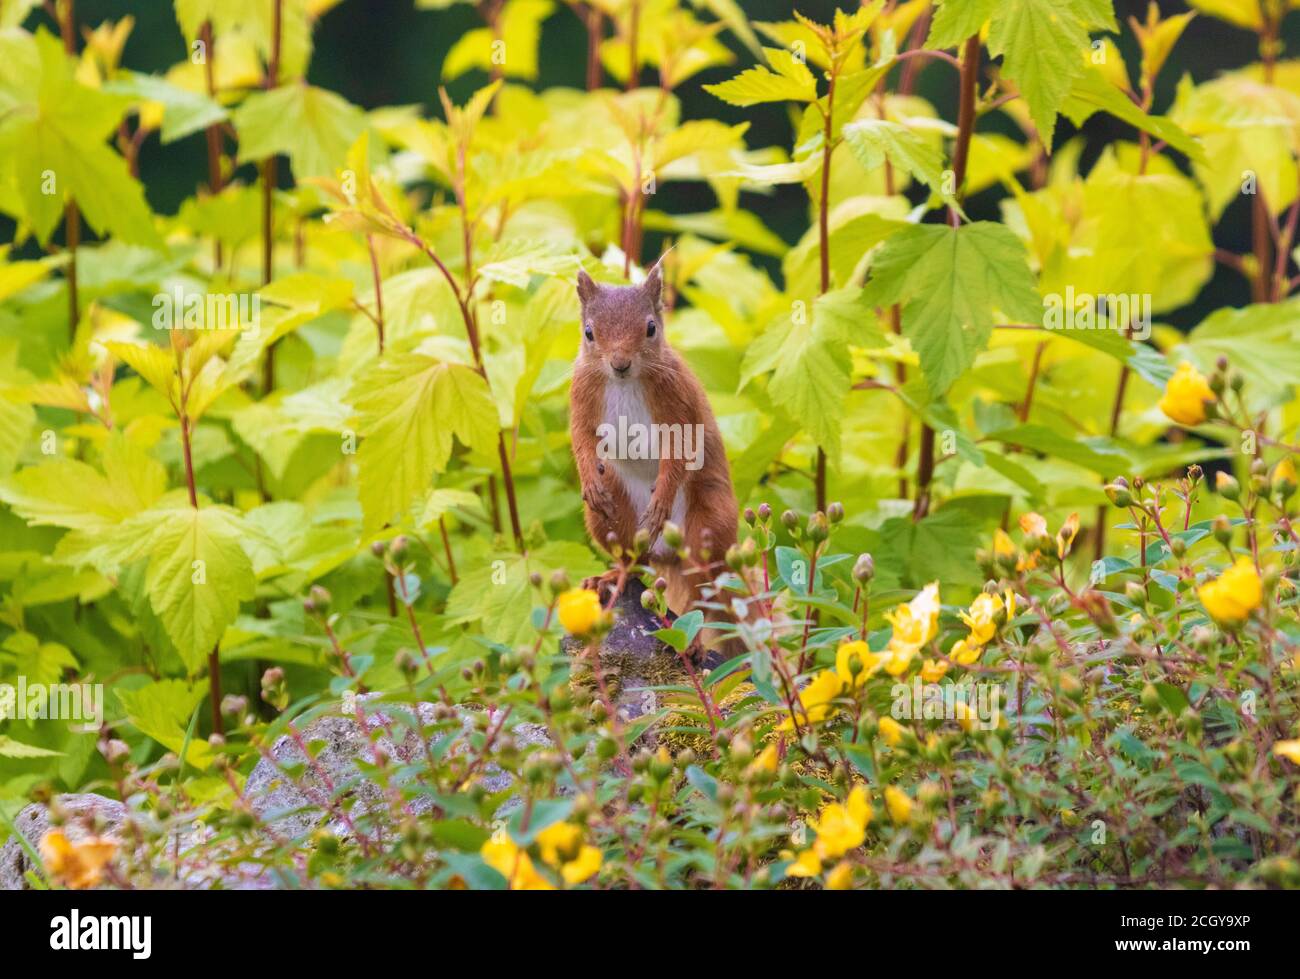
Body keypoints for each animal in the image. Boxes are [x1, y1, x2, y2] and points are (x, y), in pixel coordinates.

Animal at [570, 259, 739, 658]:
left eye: (650, 328)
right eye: (589, 332)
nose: (619, 363)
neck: (623, 384)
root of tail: (666, 554)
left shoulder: (679, 402)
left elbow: (679, 454)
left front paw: (660, 499)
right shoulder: (581, 396)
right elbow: (581, 441)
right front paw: (589, 480)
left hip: (707, 525)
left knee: (702, 594)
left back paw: (694, 642)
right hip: (613, 519)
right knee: (634, 562)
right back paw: (609, 576)